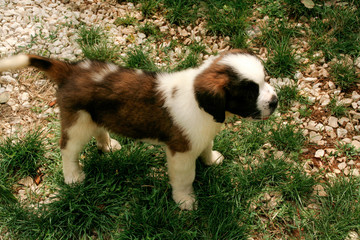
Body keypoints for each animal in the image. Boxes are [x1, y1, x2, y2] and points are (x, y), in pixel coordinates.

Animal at [0, 49, 278, 210]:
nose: (275, 101)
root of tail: (70, 70)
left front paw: (211, 159)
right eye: (249, 93)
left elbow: (207, 146)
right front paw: (185, 201)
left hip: (94, 117)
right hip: (78, 122)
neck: (201, 104)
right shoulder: (181, 153)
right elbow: (185, 178)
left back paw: (108, 145)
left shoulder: (202, 134)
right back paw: (73, 177)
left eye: (266, 79)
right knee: (68, 150)